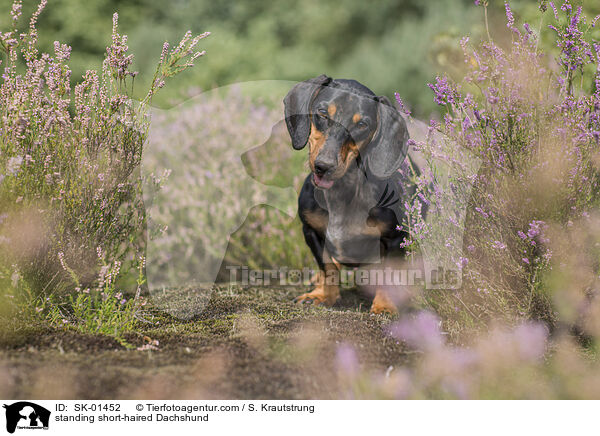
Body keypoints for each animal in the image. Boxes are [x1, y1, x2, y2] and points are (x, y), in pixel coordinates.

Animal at [284, 75, 422, 314]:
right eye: (322, 112)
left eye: (362, 124)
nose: (323, 166)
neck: (343, 191)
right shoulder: (312, 231)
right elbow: (328, 267)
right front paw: (323, 296)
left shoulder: (395, 238)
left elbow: (389, 274)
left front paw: (384, 305)